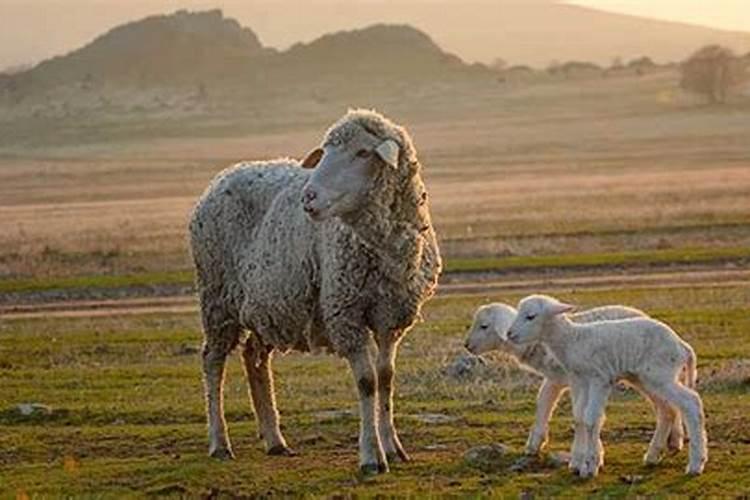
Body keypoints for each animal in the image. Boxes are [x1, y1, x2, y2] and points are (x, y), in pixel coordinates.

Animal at [188, 107, 444, 474]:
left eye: (362, 153)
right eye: (326, 152)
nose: (307, 196)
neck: (381, 248)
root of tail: (223, 176)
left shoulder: (391, 317)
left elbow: (385, 378)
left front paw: (393, 447)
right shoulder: (345, 312)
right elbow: (367, 382)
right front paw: (371, 456)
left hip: (270, 304)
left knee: (254, 357)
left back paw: (274, 439)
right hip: (216, 296)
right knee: (212, 361)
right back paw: (219, 442)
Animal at [464, 300, 688, 460]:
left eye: (484, 326)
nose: (467, 345)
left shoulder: (573, 377)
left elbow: (581, 413)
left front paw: (588, 452)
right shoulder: (555, 378)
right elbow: (543, 403)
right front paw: (534, 444)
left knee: (668, 405)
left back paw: (670, 442)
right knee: (669, 405)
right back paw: (672, 442)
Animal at [508, 294, 708, 478]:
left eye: (531, 316)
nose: (510, 334)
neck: (573, 340)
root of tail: (682, 346)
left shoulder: (599, 378)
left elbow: (590, 418)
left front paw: (590, 466)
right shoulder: (580, 380)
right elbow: (579, 416)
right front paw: (580, 462)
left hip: (660, 374)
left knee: (691, 402)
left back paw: (696, 464)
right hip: (646, 378)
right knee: (668, 409)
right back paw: (653, 456)